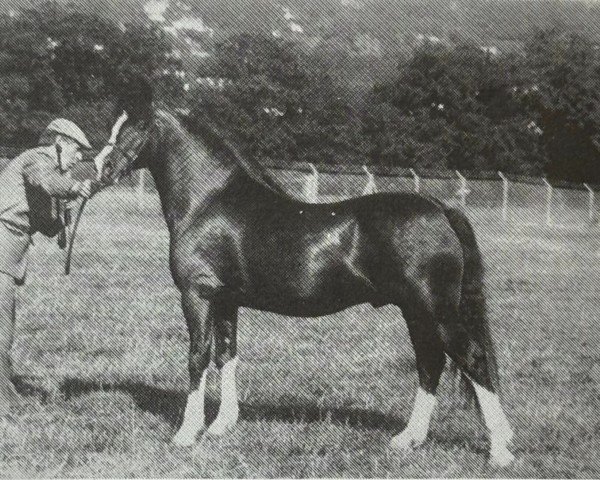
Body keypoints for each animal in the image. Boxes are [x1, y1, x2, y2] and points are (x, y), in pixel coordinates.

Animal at [96, 80, 512, 466]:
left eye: (135, 125)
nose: (102, 167)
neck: (210, 200)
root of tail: (439, 208)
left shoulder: (197, 294)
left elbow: (197, 356)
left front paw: (186, 433)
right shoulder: (225, 299)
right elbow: (226, 354)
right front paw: (221, 425)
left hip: (433, 309)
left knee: (471, 358)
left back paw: (500, 451)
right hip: (416, 310)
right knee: (431, 363)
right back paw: (409, 439)